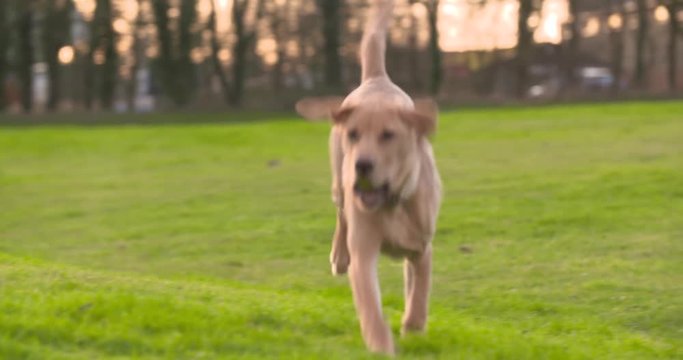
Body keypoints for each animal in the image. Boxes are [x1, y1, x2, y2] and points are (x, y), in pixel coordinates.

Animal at [296, 0, 444, 354]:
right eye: (353, 134)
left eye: (388, 135)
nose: (362, 164)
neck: (391, 204)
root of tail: (377, 79)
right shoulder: (364, 253)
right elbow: (371, 308)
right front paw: (382, 345)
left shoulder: (422, 248)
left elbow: (419, 292)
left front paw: (413, 326)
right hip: (338, 184)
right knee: (340, 216)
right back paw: (339, 256)